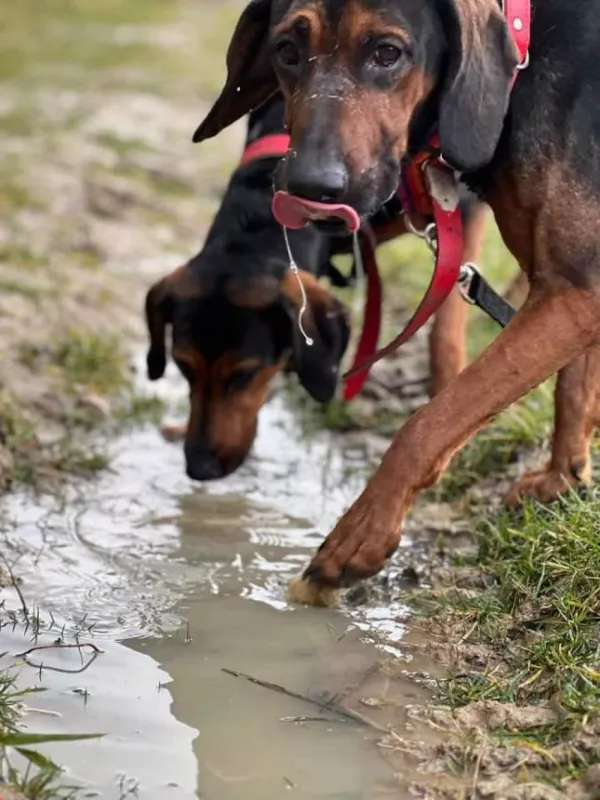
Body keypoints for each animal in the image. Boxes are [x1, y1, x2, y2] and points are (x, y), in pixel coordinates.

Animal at [193, 0, 600, 592]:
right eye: (286, 51)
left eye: (388, 53)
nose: (308, 187)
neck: (527, 57)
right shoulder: (574, 282)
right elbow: (575, 389)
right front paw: (563, 480)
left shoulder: (570, 291)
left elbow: (431, 420)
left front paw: (360, 534)